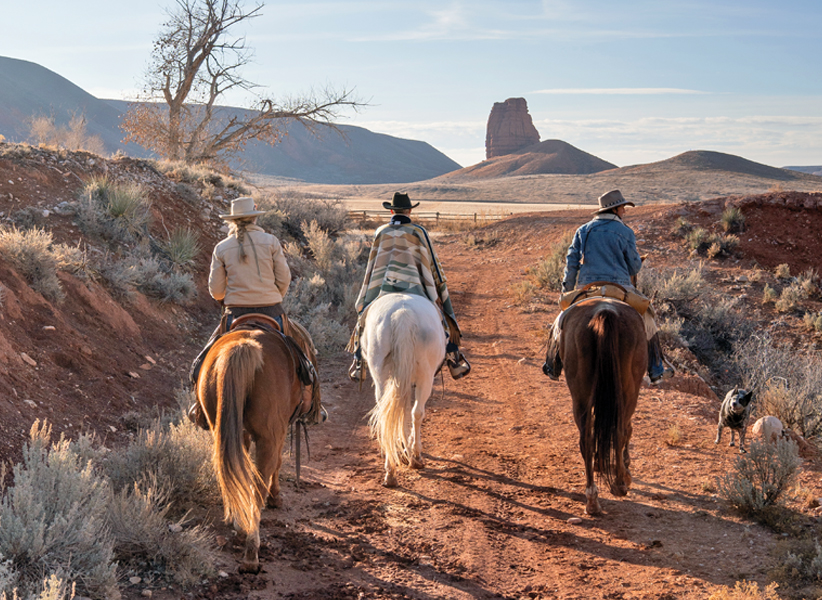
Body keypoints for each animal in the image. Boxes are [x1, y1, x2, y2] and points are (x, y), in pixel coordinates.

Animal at [198, 324, 324, 572]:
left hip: (220, 428)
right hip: (268, 438)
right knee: (258, 486)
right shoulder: (279, 432)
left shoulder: (242, 433)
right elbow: (277, 464)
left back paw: (239, 522)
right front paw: (276, 497)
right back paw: (251, 552)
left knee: (228, 473)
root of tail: (243, 347)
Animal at [364, 294, 448, 488]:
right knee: (417, 412)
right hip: (425, 376)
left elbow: (400, 415)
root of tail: (402, 315)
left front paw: (402, 449)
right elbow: (409, 413)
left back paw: (390, 472)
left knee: (386, 414)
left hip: (381, 375)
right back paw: (415, 456)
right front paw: (408, 450)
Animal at [560, 298, 652, 512]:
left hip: (581, 395)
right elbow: (626, 431)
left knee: (586, 437)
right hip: (628, 391)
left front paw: (599, 464)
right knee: (620, 430)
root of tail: (605, 312)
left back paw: (592, 499)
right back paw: (620, 483)